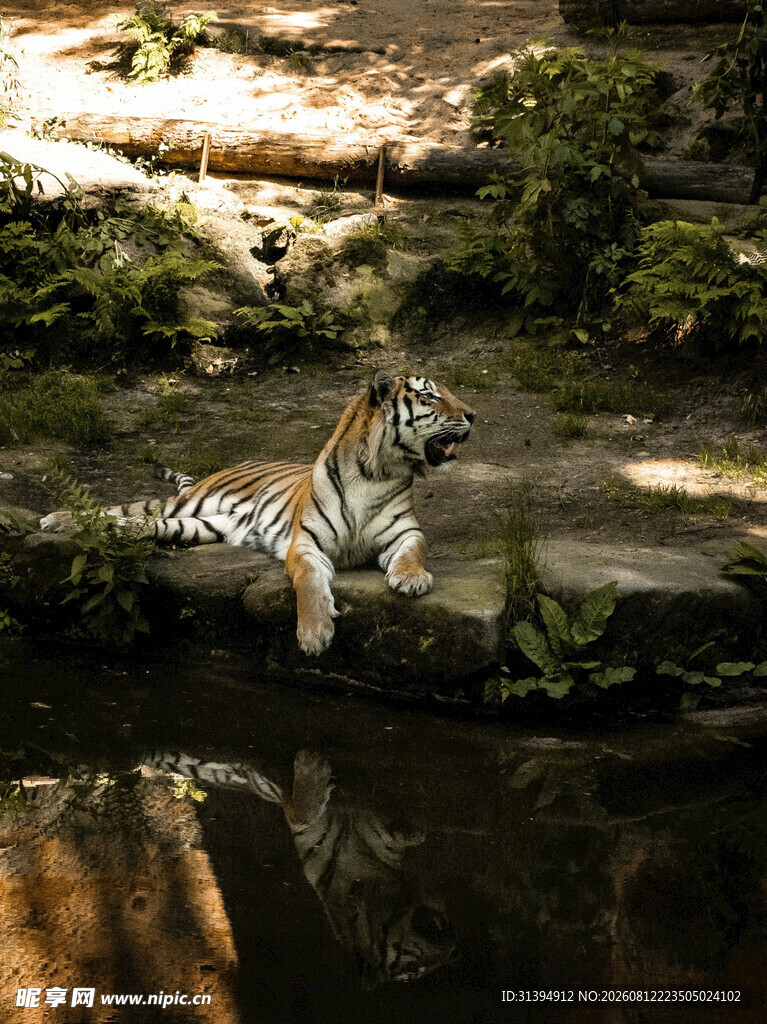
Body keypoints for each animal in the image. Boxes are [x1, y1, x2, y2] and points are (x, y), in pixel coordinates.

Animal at [40, 371, 475, 655]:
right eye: (430, 397)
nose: (472, 414)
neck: (375, 471)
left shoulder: (406, 532)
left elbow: (413, 552)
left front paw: (412, 579)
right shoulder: (305, 544)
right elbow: (309, 583)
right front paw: (314, 633)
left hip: (193, 526)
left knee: (136, 523)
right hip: (186, 503)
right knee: (120, 508)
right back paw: (57, 520)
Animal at [144, 748, 458, 988]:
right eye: (412, 971)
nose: (453, 950)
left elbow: (390, 835)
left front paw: (411, 832)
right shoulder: (300, 822)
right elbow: (304, 810)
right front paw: (312, 766)